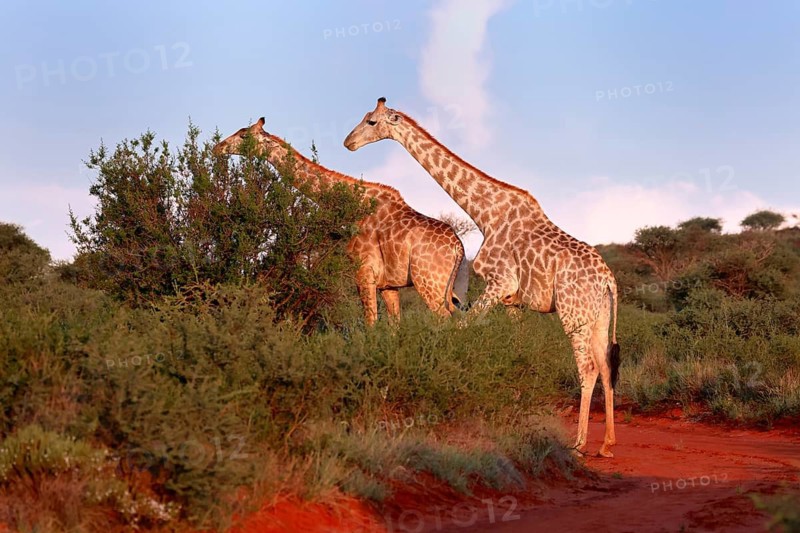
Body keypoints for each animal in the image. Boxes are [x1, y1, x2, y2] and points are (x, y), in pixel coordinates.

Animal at [213, 117, 468, 326]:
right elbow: (394, 328)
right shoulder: (388, 285)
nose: (218, 147)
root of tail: (458, 247)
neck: (356, 206)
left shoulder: (364, 274)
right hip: (449, 289)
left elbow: (370, 325)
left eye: (243, 135)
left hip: (429, 283)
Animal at [343, 98, 621, 457]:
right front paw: (514, 410)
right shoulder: (513, 301)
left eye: (372, 122)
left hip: (574, 313)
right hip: (599, 316)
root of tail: (608, 280)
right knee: (605, 365)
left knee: (587, 367)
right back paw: (607, 443)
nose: (348, 142)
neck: (485, 214)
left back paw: (578, 444)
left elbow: (461, 325)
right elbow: (516, 349)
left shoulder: (498, 283)